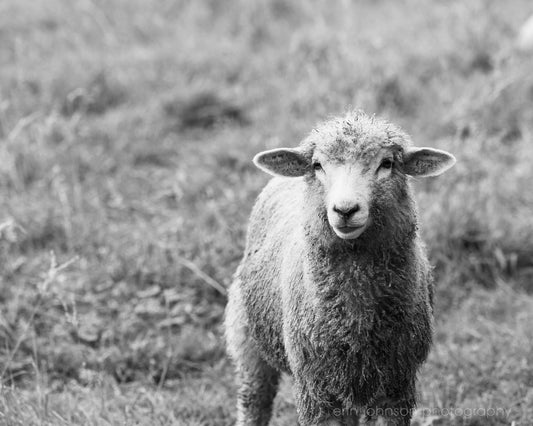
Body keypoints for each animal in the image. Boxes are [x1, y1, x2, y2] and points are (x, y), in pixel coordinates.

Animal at [224, 110, 454, 426]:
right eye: (317, 165)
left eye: (387, 164)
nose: (345, 210)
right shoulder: (316, 390)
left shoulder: (396, 387)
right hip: (248, 342)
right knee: (254, 402)